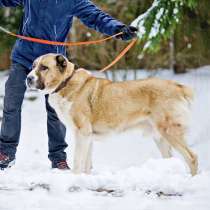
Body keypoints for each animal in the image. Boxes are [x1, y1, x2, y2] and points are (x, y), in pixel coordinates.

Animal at [26, 53, 199, 176]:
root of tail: (178, 86)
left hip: (169, 131)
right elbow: (86, 163)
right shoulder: (88, 136)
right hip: (160, 137)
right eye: (33, 66)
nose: (28, 78)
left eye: (44, 67)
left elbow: (78, 161)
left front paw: (75, 178)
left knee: (192, 157)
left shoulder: (82, 133)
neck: (66, 82)